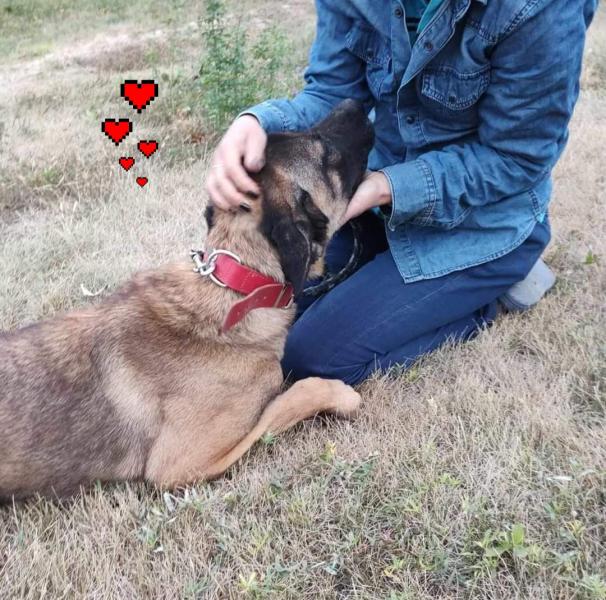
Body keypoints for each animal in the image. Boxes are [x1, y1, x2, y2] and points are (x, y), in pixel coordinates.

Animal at [0, 100, 374, 501]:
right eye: (325, 152)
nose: (353, 102)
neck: (236, 285)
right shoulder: (180, 465)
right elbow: (287, 401)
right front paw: (338, 394)